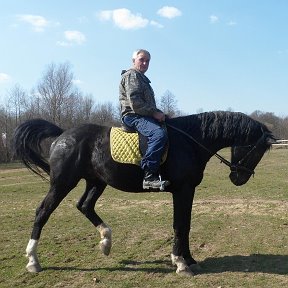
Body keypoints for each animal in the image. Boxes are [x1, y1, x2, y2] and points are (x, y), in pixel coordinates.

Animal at [12, 111, 274, 276]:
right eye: (256, 149)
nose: (238, 179)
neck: (190, 142)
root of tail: (62, 135)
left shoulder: (188, 191)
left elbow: (186, 225)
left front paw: (189, 260)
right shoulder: (182, 190)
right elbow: (180, 225)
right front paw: (181, 263)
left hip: (96, 182)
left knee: (84, 206)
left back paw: (106, 241)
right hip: (62, 183)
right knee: (43, 212)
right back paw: (33, 261)